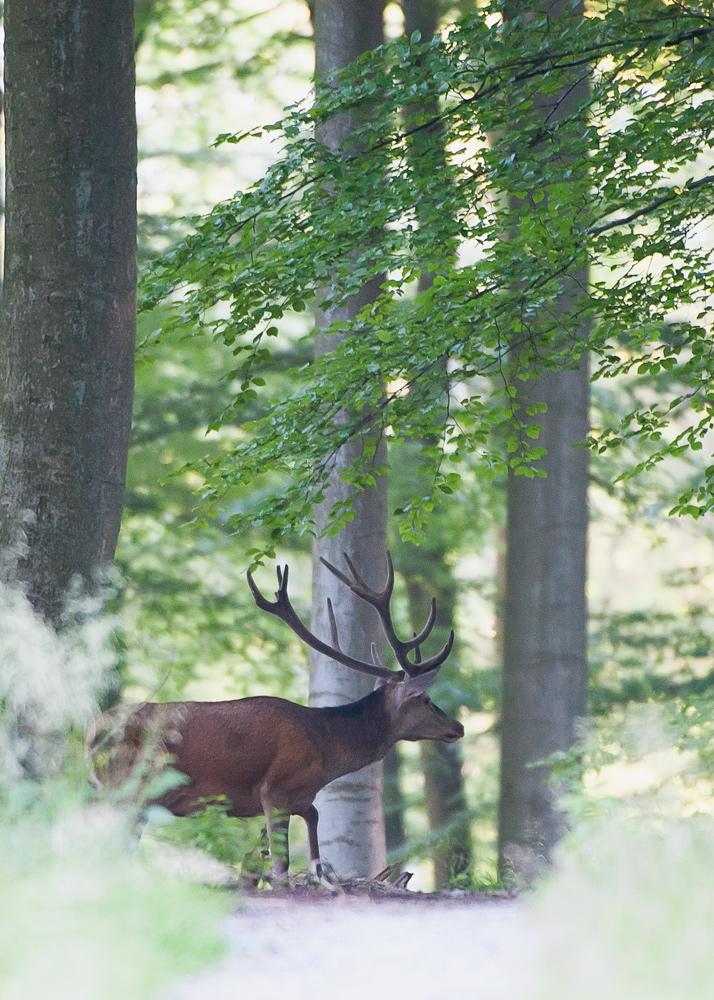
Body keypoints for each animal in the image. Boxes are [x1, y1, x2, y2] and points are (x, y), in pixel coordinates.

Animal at [86, 552, 464, 880]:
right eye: (427, 699)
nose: (458, 726)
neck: (326, 748)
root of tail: (90, 734)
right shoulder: (275, 790)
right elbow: (280, 865)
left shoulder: (299, 797)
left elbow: (307, 832)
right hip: (127, 788)